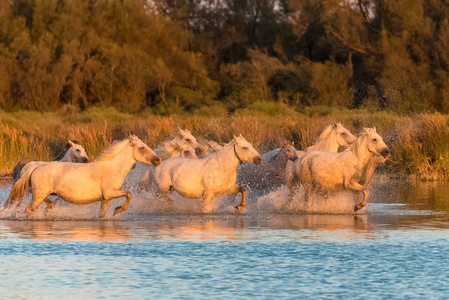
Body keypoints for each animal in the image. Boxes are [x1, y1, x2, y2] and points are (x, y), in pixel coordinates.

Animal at [3, 136, 161, 218]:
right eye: (142, 148)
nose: (158, 160)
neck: (113, 168)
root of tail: (36, 167)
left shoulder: (106, 199)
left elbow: (102, 215)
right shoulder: (110, 193)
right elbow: (129, 194)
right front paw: (119, 209)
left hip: (41, 194)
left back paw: (49, 208)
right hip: (38, 196)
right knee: (28, 211)